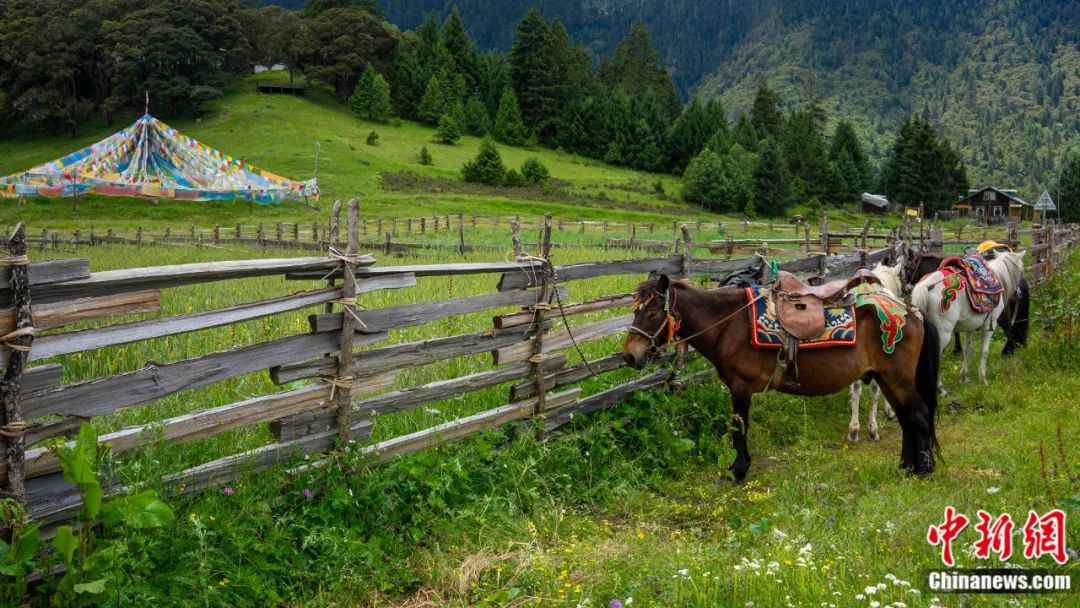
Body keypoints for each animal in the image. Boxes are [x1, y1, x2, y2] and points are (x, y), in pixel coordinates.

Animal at [911, 250, 1019, 384]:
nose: (1018, 293)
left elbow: (968, 349)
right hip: (943, 333)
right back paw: (939, 386)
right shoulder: (990, 324)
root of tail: (926, 286)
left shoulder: (971, 326)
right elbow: (984, 351)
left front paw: (963, 376)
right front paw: (982, 378)